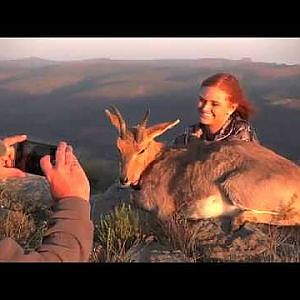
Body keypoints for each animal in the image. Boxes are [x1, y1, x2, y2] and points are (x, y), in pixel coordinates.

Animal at [105, 106, 300, 226]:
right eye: (118, 147)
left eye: (142, 149)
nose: (124, 179)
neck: (157, 161)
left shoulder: (162, 211)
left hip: (236, 188)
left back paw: (238, 219)